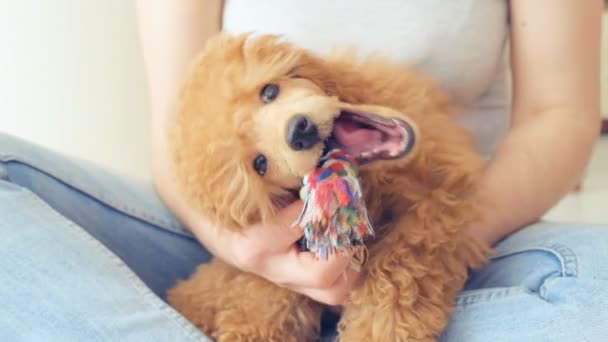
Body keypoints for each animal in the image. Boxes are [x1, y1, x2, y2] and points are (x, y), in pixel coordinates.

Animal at [166, 32, 494, 342]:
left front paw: (379, 327)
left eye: (269, 91)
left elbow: (404, 263)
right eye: (260, 164)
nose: (299, 131)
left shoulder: (440, 199)